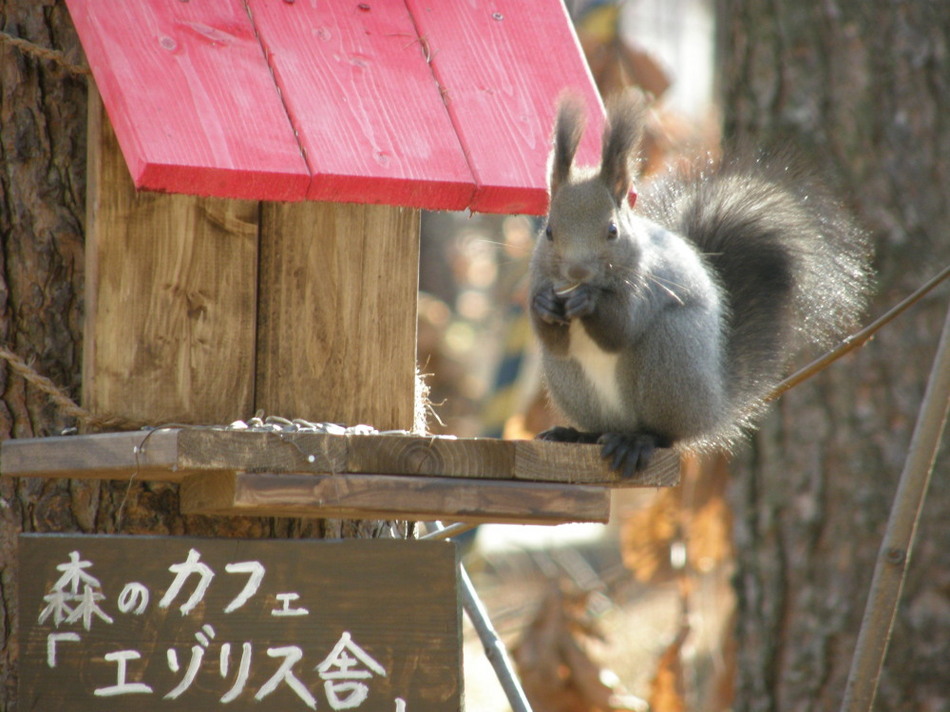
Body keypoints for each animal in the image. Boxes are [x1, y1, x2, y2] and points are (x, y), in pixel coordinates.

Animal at [532, 92, 872, 476]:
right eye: (548, 231)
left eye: (612, 231)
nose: (577, 273)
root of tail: (713, 405)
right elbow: (554, 339)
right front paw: (543, 305)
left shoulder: (648, 285)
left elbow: (620, 327)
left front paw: (589, 301)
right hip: (572, 383)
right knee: (598, 424)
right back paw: (576, 434)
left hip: (670, 356)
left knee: (666, 436)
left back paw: (637, 441)